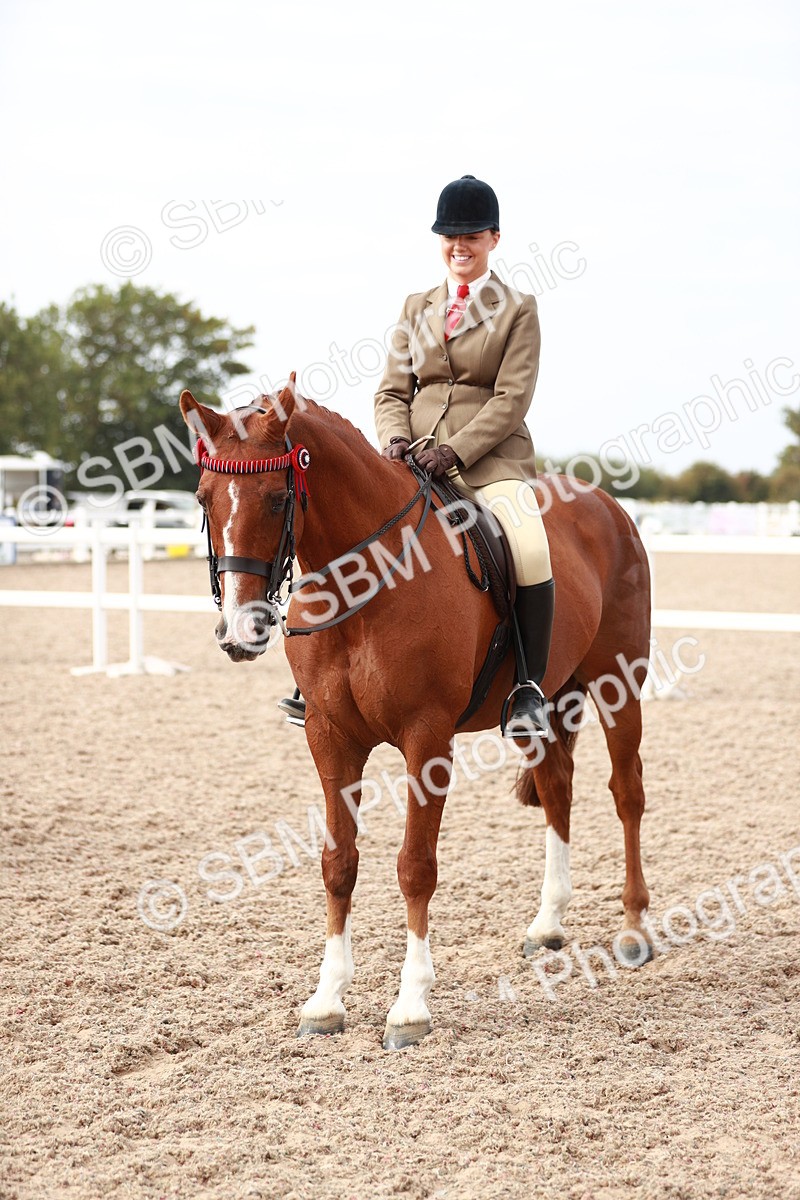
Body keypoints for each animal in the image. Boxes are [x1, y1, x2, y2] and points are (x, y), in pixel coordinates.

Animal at [179, 380, 654, 1049]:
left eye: (277, 500)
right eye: (203, 497)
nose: (241, 630)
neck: (364, 579)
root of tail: (607, 506)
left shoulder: (426, 738)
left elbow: (415, 867)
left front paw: (409, 1007)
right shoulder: (329, 737)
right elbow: (338, 863)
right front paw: (326, 1000)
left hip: (621, 683)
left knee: (626, 791)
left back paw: (635, 928)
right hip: (544, 706)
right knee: (557, 788)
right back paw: (548, 924)